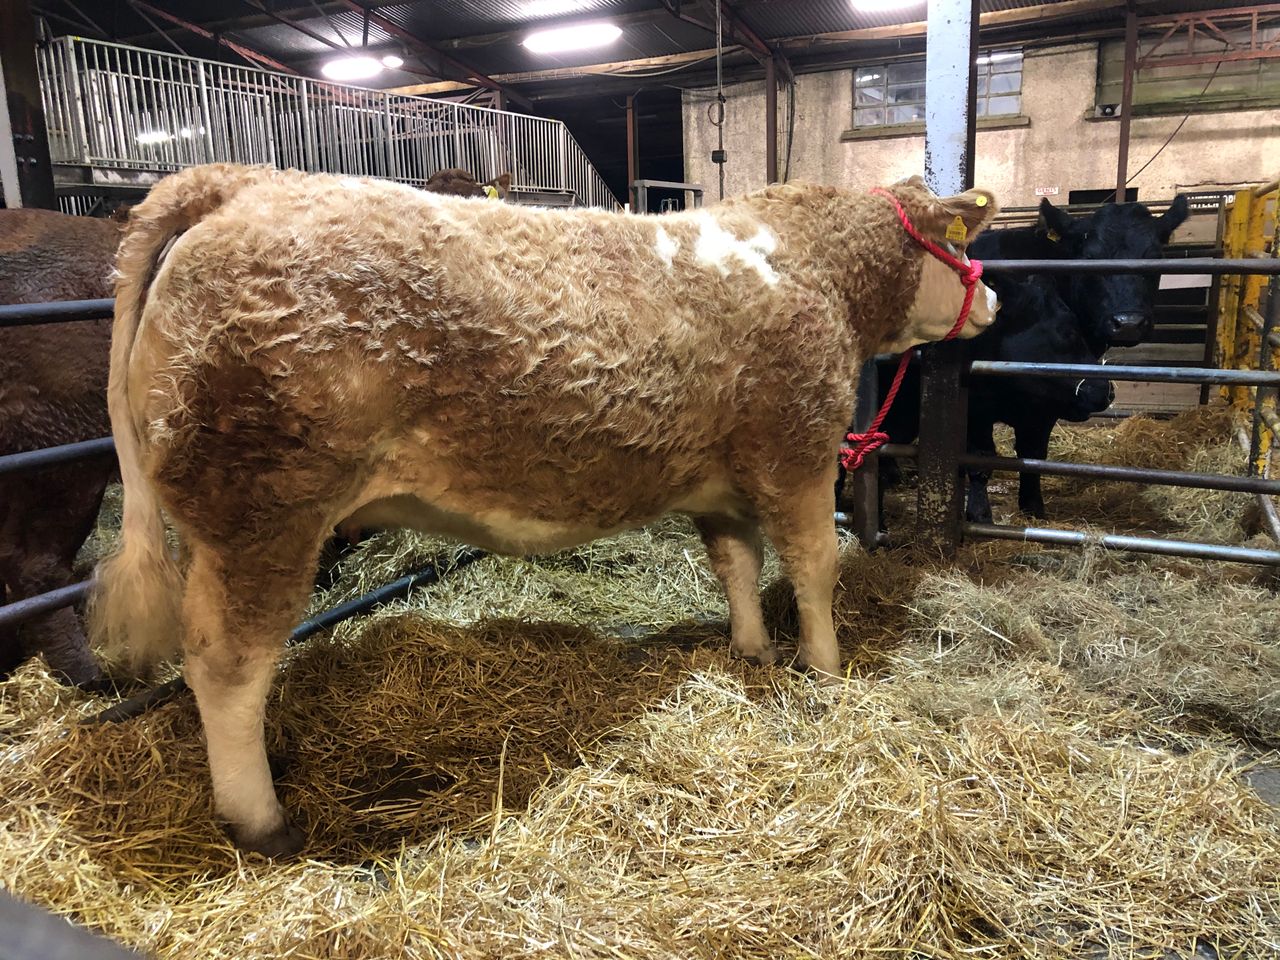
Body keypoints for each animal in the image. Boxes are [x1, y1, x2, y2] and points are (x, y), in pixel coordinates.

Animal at [90, 164, 1001, 855]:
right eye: (964, 244)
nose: (992, 303)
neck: (805, 268)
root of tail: (243, 181)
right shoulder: (797, 452)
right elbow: (814, 567)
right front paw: (827, 667)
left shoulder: (726, 480)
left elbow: (736, 564)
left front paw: (752, 652)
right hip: (263, 512)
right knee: (226, 663)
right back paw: (263, 821)